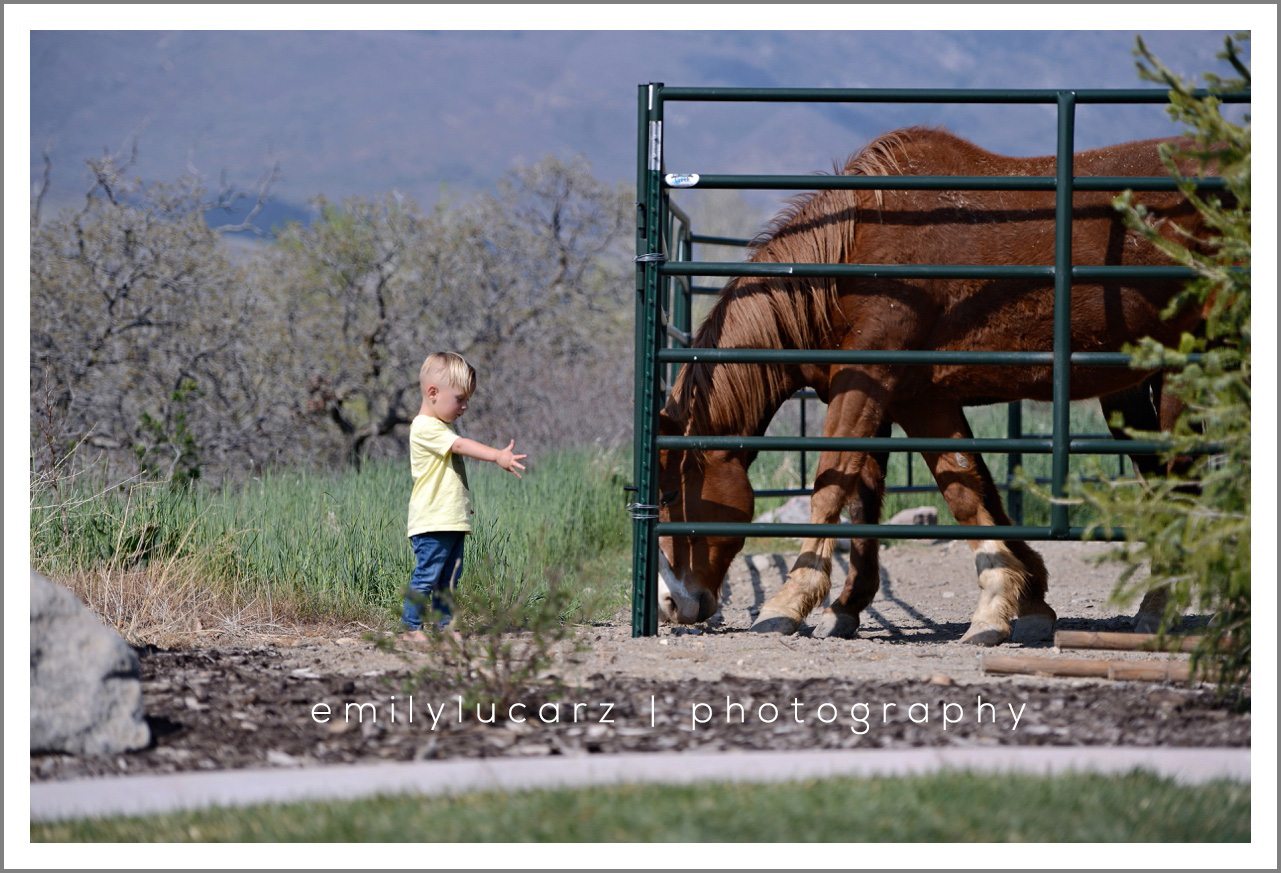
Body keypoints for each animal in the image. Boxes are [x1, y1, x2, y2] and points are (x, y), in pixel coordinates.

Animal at [655, 126, 1204, 643]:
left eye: (668, 494)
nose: (671, 605)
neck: (853, 259)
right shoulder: (915, 398)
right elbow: (957, 490)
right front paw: (1018, 599)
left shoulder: (868, 386)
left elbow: (835, 485)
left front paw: (787, 604)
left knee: (1185, 490)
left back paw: (1158, 609)